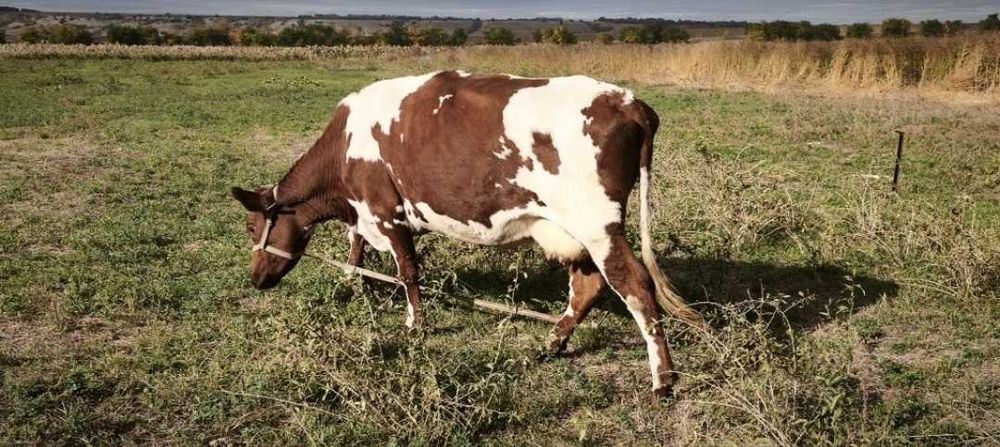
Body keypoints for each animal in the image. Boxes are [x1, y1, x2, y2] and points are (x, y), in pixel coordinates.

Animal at [231, 71, 703, 397]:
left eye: (252, 225)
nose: (255, 278)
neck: (345, 147)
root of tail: (630, 102)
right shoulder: (367, 215)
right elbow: (357, 250)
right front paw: (356, 285)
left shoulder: (386, 211)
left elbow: (408, 271)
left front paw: (415, 325)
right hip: (573, 230)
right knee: (587, 285)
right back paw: (552, 342)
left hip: (598, 224)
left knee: (635, 284)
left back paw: (663, 379)